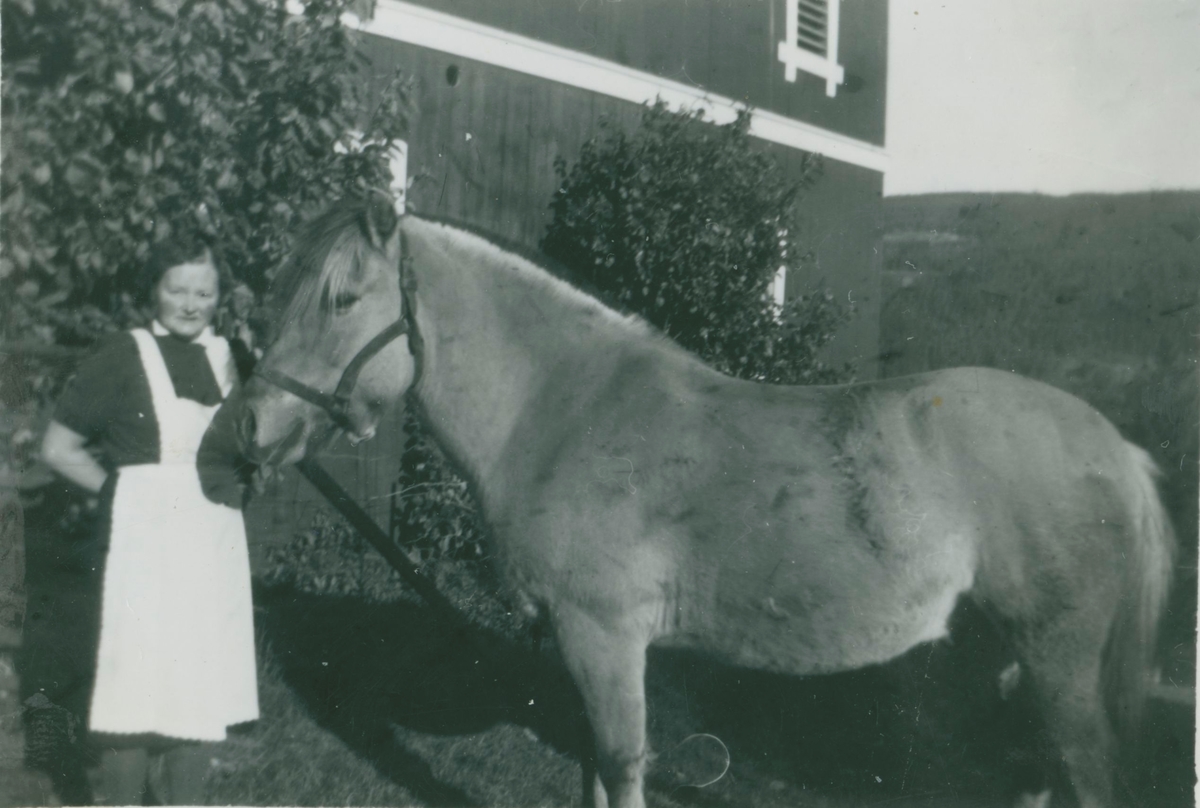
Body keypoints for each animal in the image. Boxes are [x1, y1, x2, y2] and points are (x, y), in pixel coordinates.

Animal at [234, 196, 1171, 806]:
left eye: (342, 298)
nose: (247, 430)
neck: (562, 408)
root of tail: (1114, 448)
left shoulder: (604, 637)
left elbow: (620, 766)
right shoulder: (577, 646)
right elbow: (592, 769)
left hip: (1061, 669)